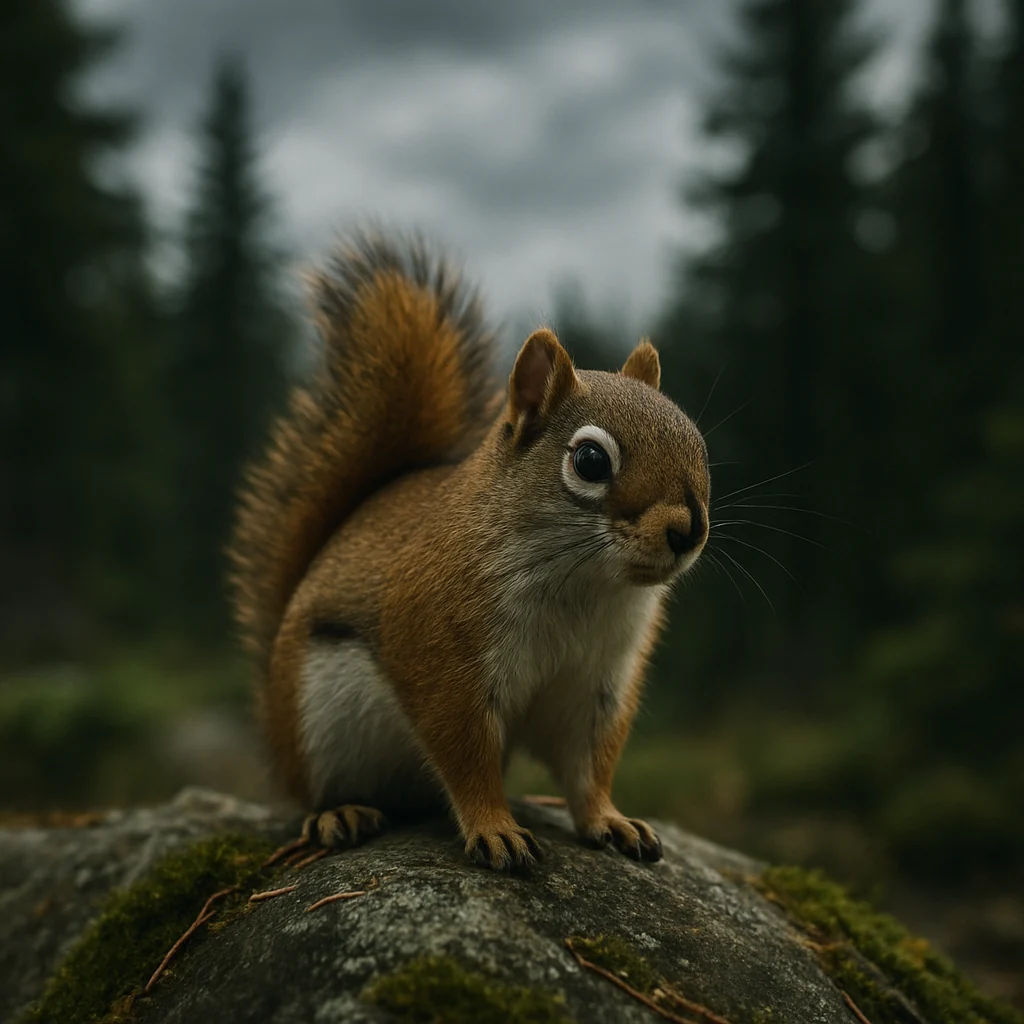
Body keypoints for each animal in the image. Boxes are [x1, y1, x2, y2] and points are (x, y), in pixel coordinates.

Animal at [229, 231, 710, 871]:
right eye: (590, 461)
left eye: (698, 442)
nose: (690, 530)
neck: (585, 586)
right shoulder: (440, 657)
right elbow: (467, 757)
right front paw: (495, 829)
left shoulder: (597, 684)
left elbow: (589, 766)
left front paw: (611, 820)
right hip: (314, 729)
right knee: (310, 793)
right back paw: (340, 813)